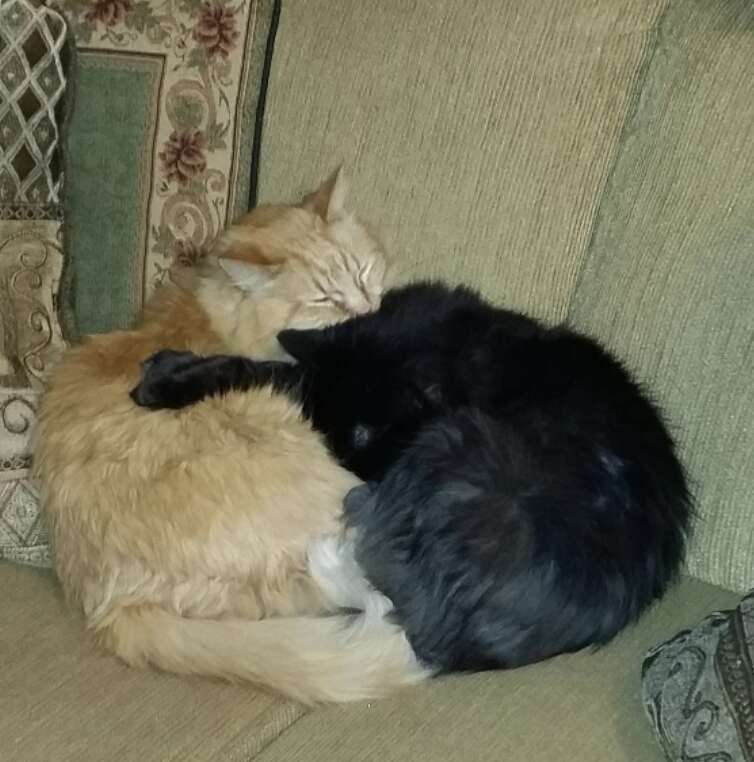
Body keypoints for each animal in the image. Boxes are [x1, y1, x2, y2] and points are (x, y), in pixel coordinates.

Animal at [132, 280, 692, 700]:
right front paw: (165, 375)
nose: (352, 468)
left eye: (363, 438)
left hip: (455, 445)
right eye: (336, 436)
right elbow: (265, 367)